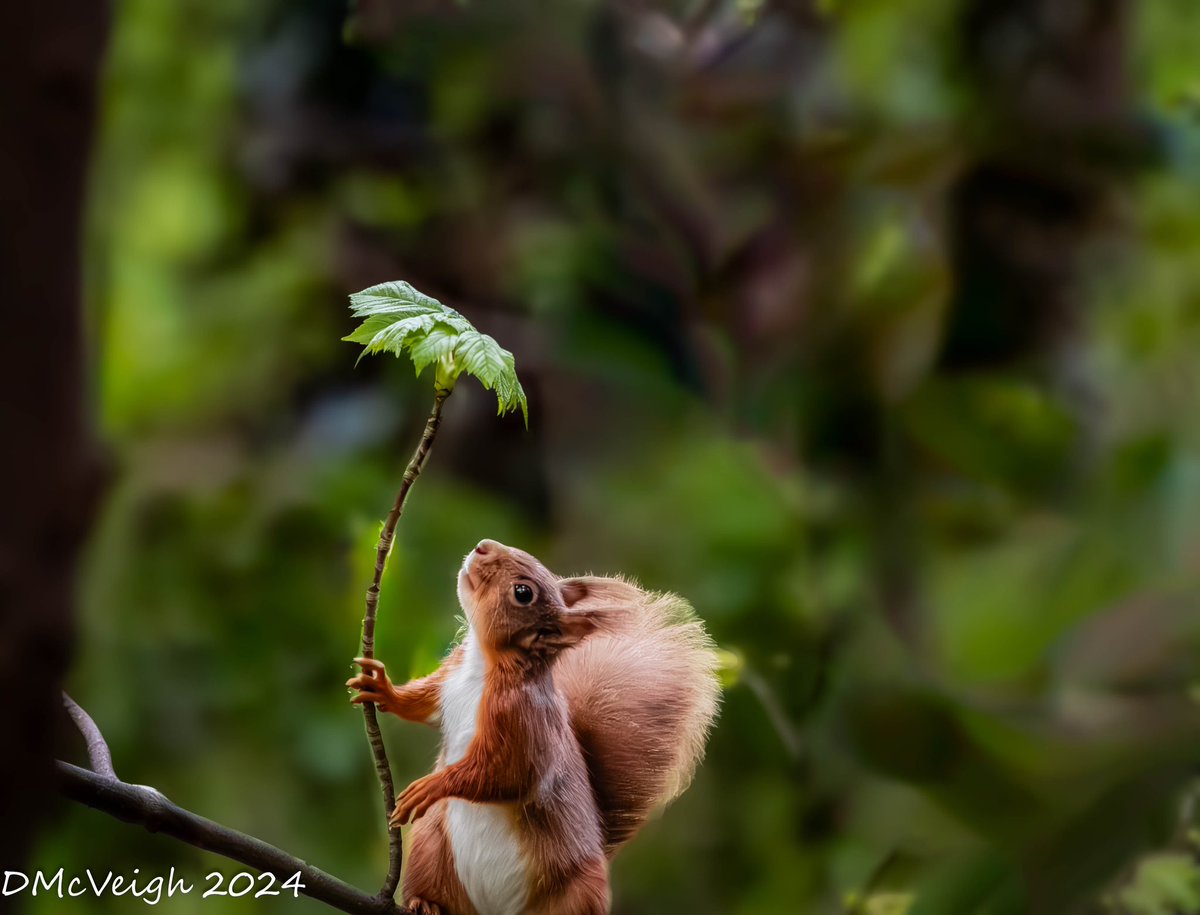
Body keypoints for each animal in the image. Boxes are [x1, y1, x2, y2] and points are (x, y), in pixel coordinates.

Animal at [346, 539, 720, 915]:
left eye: (523, 593)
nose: (484, 546)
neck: (484, 664)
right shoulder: (449, 678)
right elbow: (423, 704)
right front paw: (383, 689)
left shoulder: (524, 721)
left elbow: (511, 774)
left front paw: (432, 786)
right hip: (430, 848)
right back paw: (424, 902)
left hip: (580, 891)